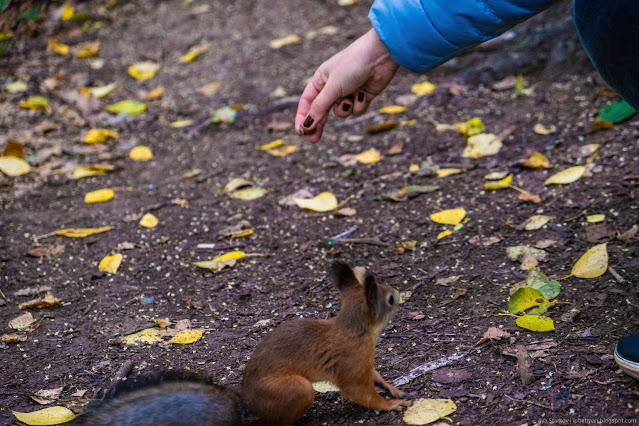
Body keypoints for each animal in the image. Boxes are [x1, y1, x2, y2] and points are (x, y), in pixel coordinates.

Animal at [75, 262, 408, 424]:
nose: (400, 294)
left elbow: (375, 376)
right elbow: (360, 391)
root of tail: (247, 401)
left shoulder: (364, 362)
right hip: (297, 390)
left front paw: (392, 388)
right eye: (389, 299)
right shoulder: (352, 362)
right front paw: (391, 405)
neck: (355, 328)